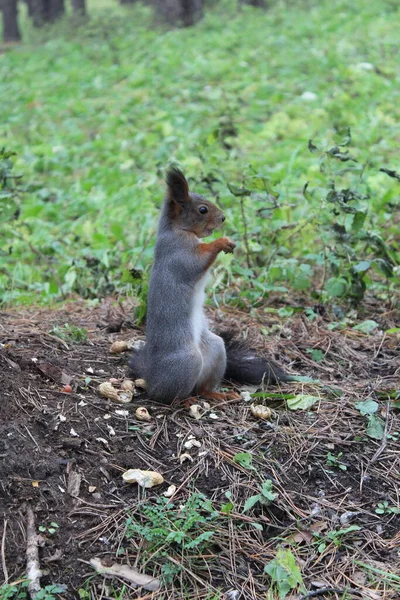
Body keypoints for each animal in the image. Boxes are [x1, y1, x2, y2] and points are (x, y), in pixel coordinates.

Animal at [129, 166, 290, 406]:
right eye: (202, 210)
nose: (223, 218)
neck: (179, 230)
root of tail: (152, 376)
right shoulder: (178, 253)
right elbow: (196, 262)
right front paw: (221, 242)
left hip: (215, 348)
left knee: (201, 388)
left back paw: (217, 394)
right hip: (187, 362)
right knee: (167, 396)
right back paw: (183, 401)